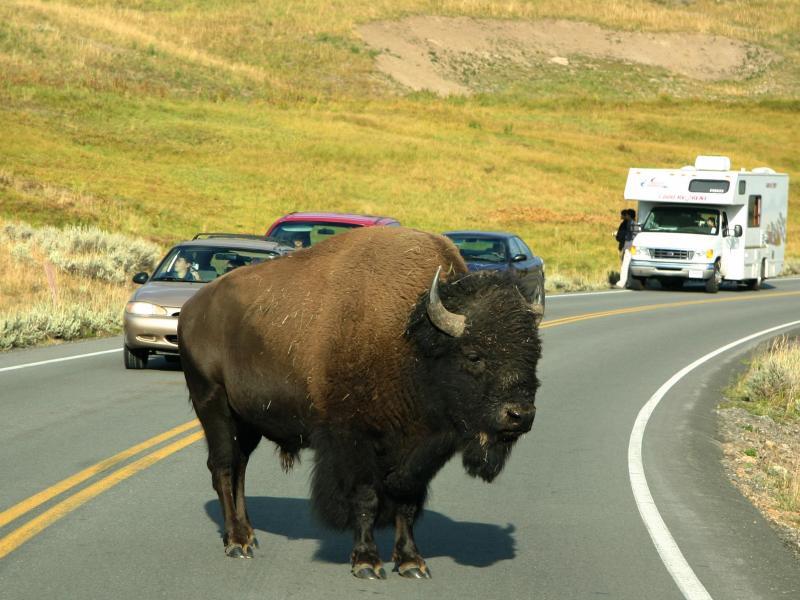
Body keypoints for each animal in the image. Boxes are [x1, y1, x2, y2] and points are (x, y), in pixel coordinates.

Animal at [180, 225, 544, 576]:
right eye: (473, 355)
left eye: (533, 355)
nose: (519, 415)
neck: (412, 337)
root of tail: (191, 309)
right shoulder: (355, 441)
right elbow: (366, 497)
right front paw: (367, 562)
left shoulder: (420, 452)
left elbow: (407, 500)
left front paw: (411, 562)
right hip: (213, 405)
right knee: (224, 467)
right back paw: (237, 542)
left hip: (247, 420)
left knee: (240, 467)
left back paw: (249, 535)